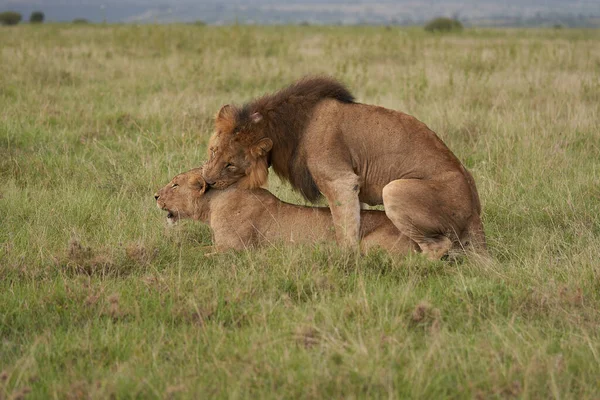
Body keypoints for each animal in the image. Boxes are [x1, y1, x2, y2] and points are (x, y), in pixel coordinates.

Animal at [155, 167, 418, 255]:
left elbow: (197, 253)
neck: (212, 205)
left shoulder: (234, 249)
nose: (155, 196)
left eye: (175, 184)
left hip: (369, 246)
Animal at [204, 77, 486, 260]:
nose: (207, 181)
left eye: (230, 164)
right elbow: (354, 219)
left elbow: (344, 228)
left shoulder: (339, 180)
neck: (285, 129)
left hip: (395, 190)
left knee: (438, 247)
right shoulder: (351, 184)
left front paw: (345, 260)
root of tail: (475, 212)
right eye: (213, 151)